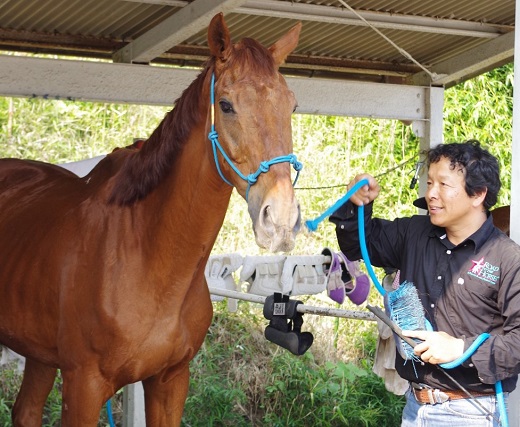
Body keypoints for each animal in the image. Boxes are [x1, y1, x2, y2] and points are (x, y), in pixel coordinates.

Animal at [0, 12, 302, 424]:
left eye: (292, 106)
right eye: (225, 105)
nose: (281, 219)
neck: (148, 258)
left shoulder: (170, 381)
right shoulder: (83, 388)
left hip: (40, 355)